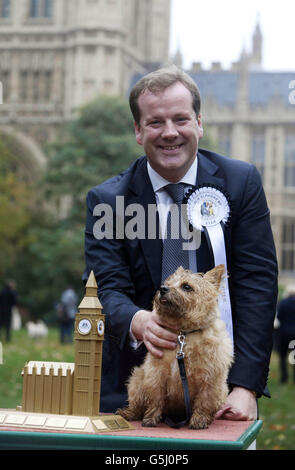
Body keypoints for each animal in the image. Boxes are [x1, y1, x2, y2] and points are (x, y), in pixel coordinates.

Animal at [117, 264, 235, 430]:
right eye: (168, 282)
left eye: (187, 286)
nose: (162, 288)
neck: (183, 334)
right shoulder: (156, 374)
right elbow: (155, 398)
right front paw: (150, 418)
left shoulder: (210, 379)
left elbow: (204, 401)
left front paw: (199, 419)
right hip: (137, 380)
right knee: (137, 404)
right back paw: (128, 413)